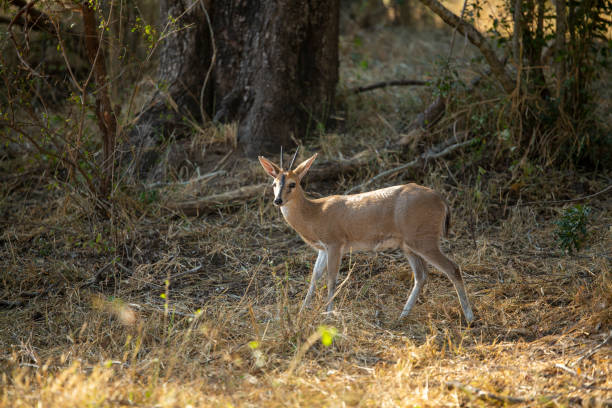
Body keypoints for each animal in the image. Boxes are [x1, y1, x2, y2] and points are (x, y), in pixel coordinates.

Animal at [256, 149, 474, 322]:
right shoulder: (323, 248)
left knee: (452, 268)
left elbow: (331, 279)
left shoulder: (335, 244)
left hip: (423, 240)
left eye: (293, 183)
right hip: (409, 245)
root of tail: (441, 199)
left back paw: (469, 317)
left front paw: (328, 314)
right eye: (274, 184)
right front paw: (302, 312)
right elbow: (314, 278)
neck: (315, 213)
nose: (278, 200)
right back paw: (401, 316)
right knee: (421, 275)